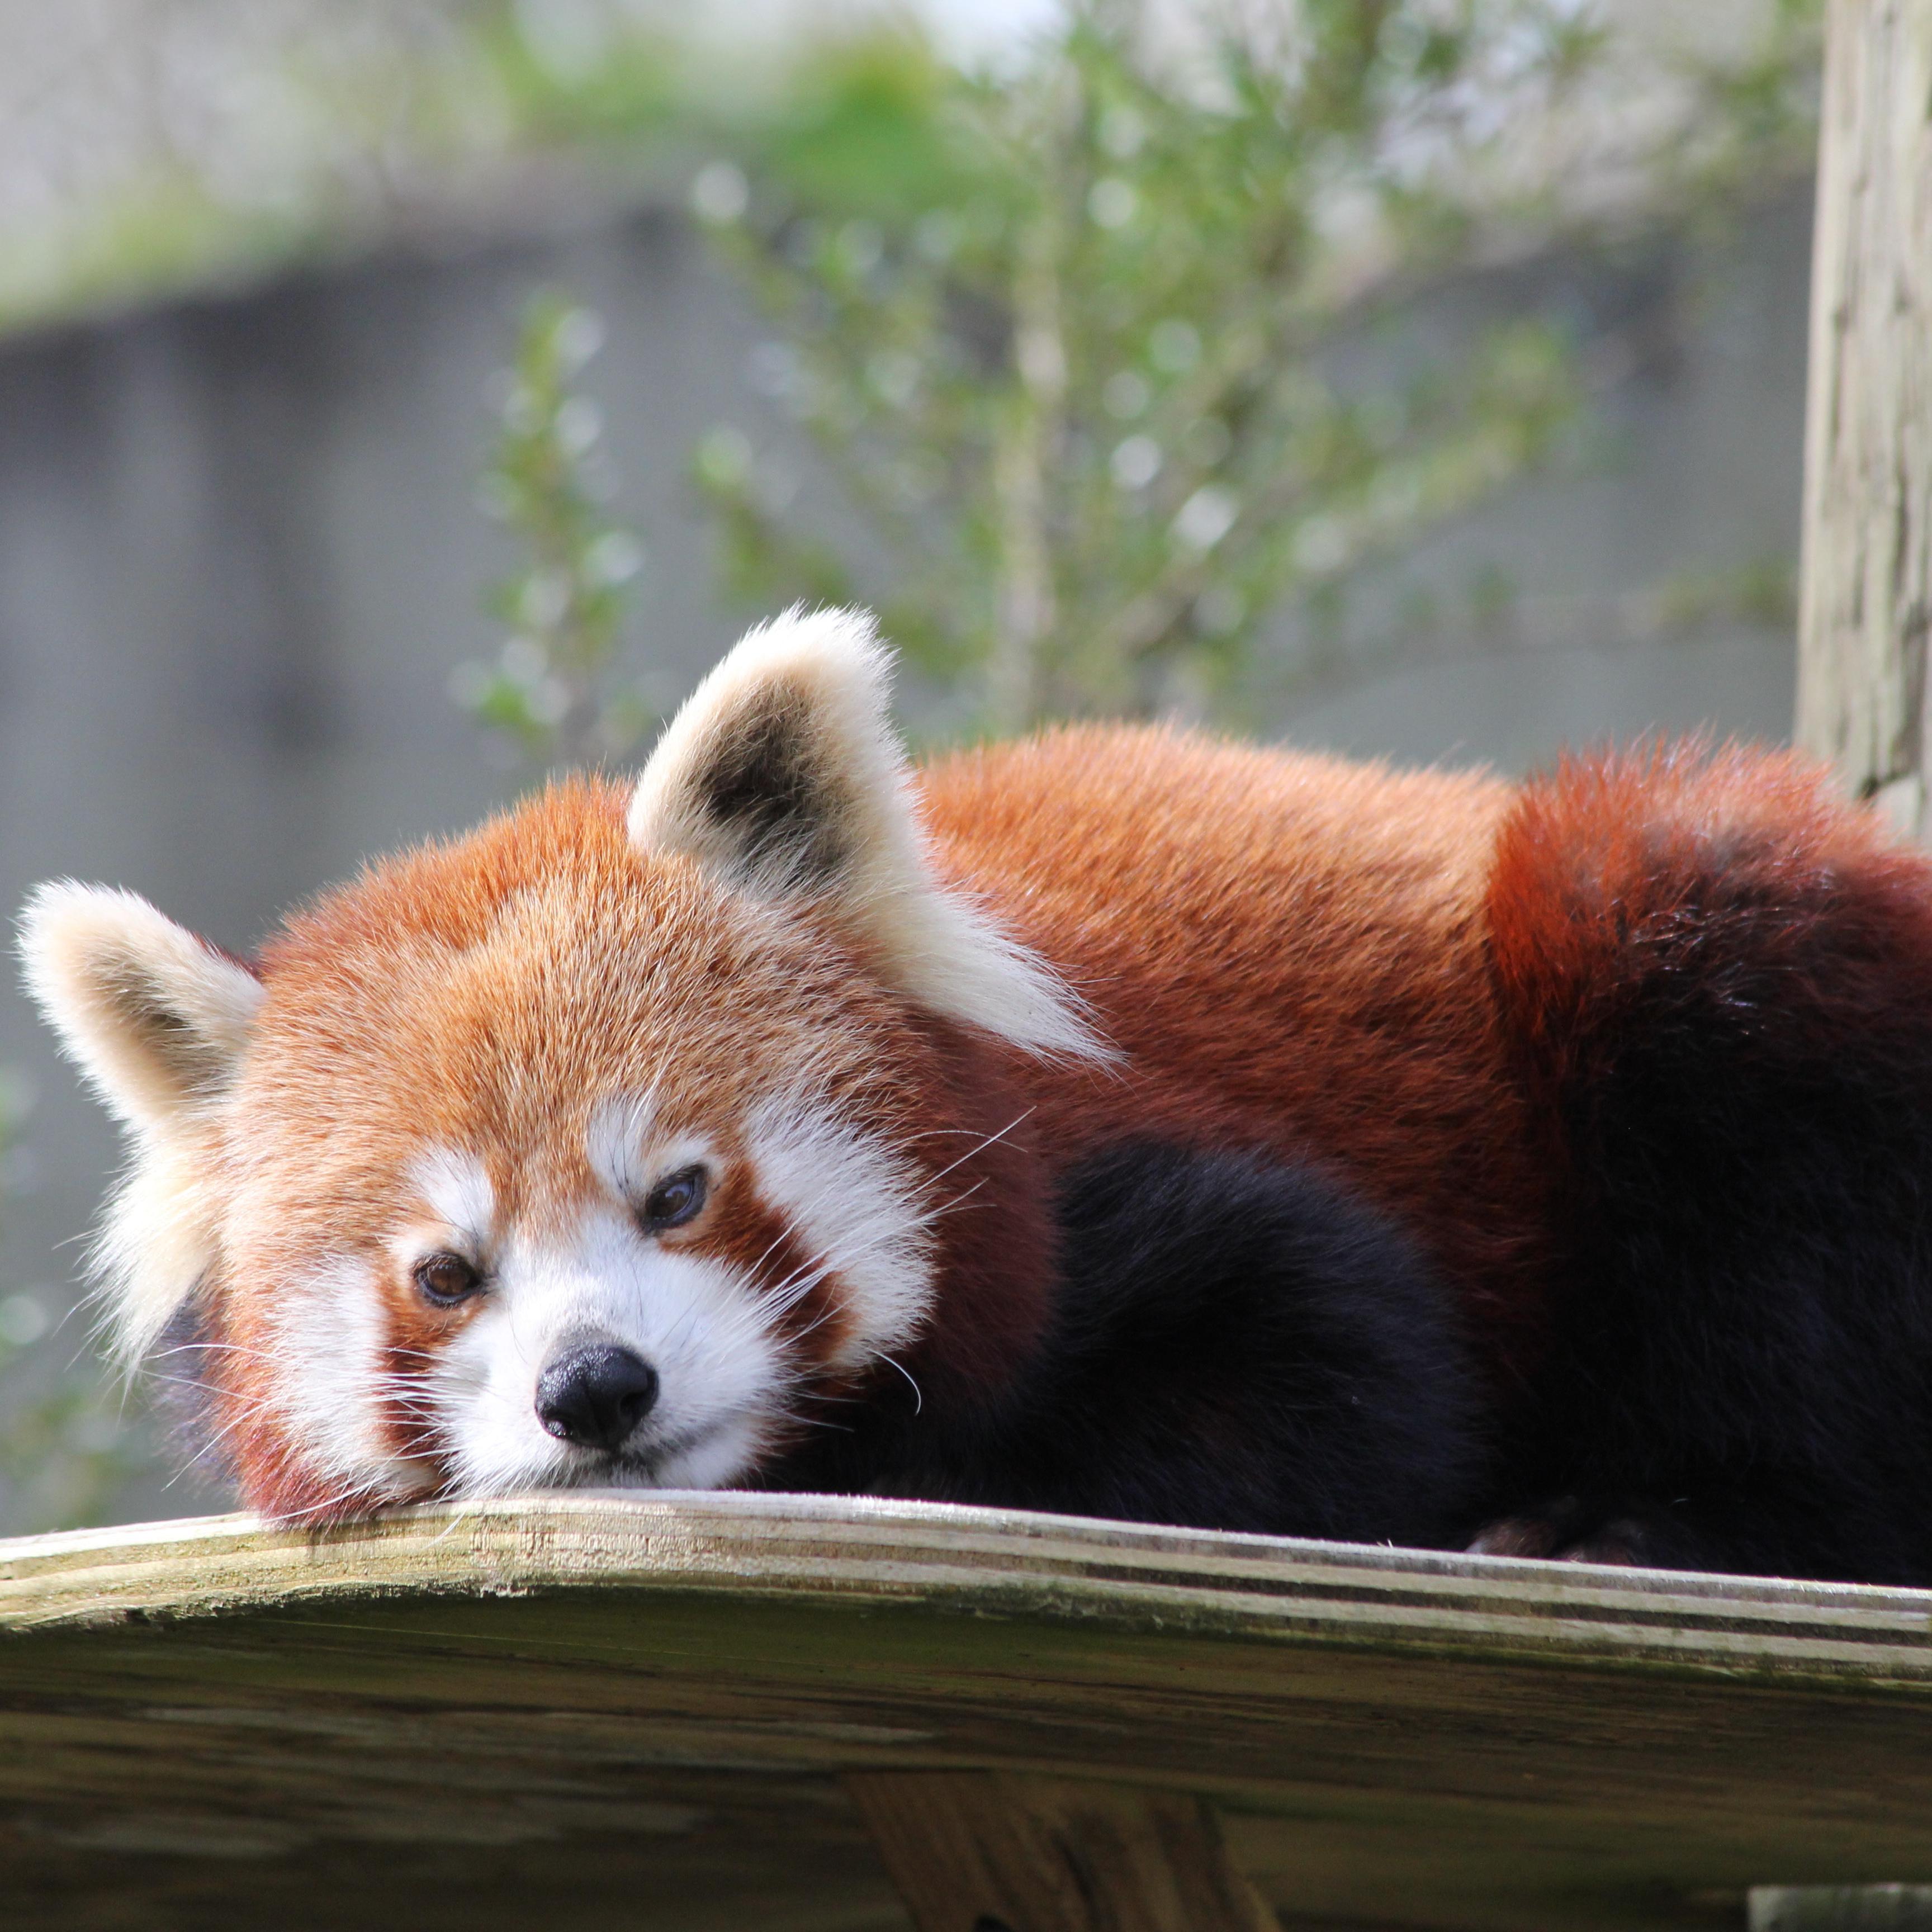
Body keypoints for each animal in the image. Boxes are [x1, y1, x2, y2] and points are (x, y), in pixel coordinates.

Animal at [22, 607, 1932, 1584]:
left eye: (679, 1193)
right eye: (444, 1274)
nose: (595, 1389)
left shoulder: (1150, 1182)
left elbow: (1344, 1381)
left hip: (1688, 957)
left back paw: (1659, 1514)